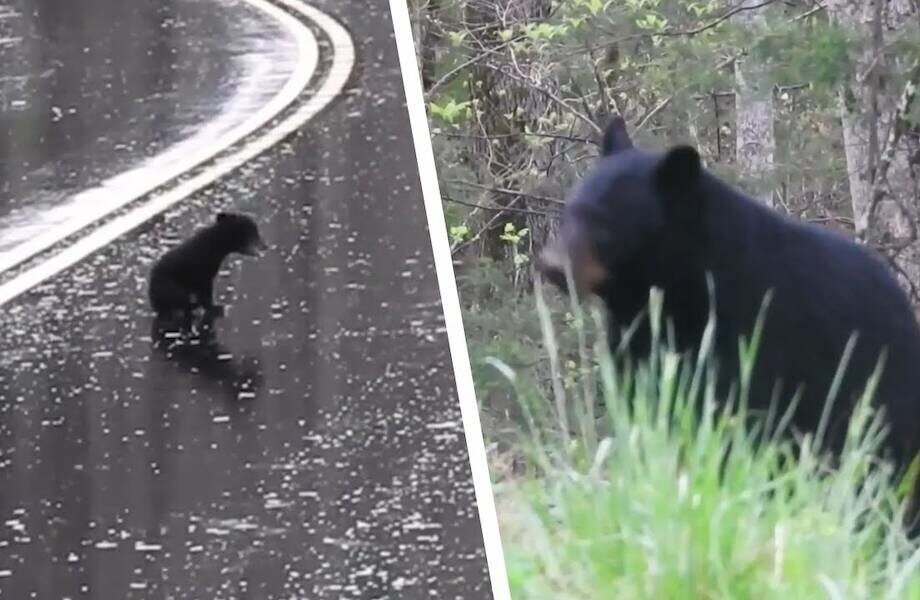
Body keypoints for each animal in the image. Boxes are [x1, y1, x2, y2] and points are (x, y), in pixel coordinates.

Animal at [540, 115, 920, 524]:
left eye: (604, 223)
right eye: (569, 210)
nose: (551, 267)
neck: (678, 286)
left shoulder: (751, 330)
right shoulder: (637, 337)